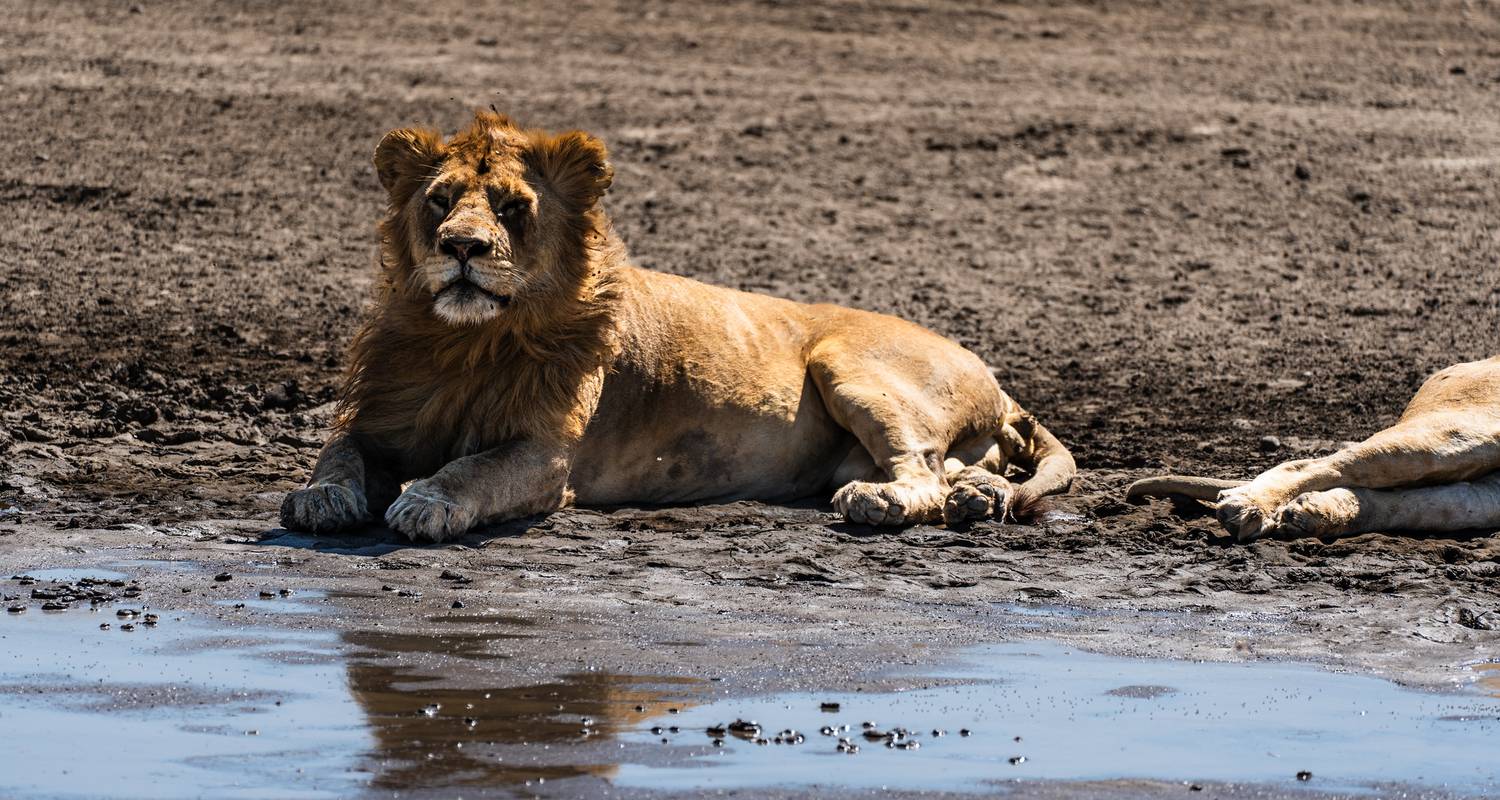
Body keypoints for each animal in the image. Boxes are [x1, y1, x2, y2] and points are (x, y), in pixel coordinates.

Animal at [279, 107, 1080, 543]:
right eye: (440, 202)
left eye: (511, 208)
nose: (462, 248)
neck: (464, 342)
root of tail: (996, 378)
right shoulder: (382, 416)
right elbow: (337, 453)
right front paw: (320, 498)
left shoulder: (546, 455)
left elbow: (472, 468)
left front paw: (427, 502)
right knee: (954, 472)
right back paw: (980, 496)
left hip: (847, 363)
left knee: (920, 474)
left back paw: (886, 502)